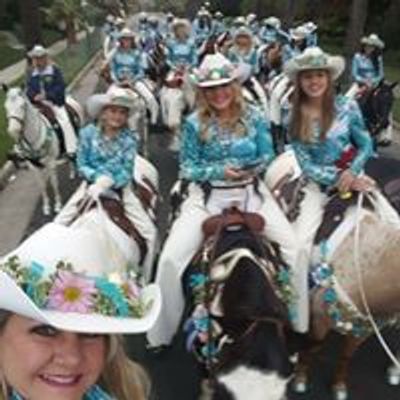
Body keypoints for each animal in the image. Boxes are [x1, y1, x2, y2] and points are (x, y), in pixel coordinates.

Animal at [3, 85, 83, 216]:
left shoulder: (51, 163)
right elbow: (41, 186)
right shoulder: (34, 167)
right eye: (6, 107)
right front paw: (46, 207)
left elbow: (54, 183)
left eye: (22, 106)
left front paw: (58, 205)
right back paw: (72, 172)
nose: (13, 130)